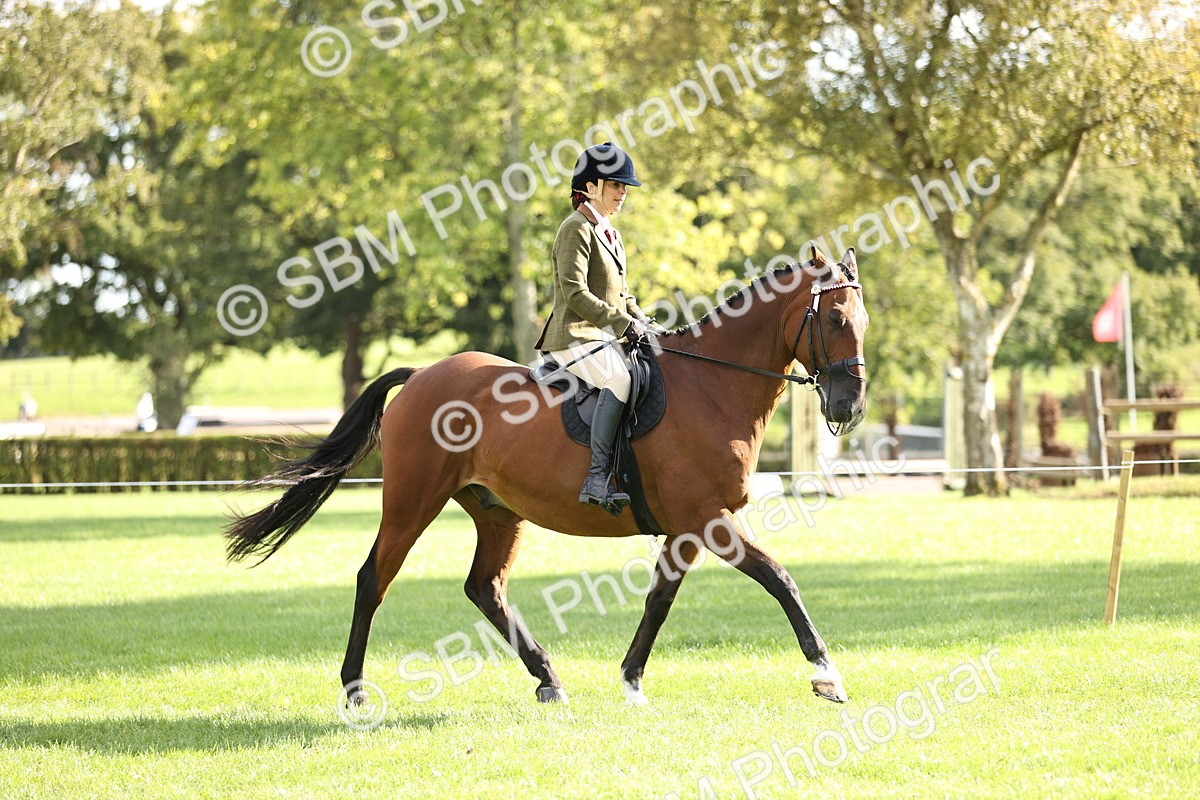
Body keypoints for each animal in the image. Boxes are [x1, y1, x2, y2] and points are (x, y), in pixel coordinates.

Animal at [225, 243, 868, 707]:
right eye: (836, 318)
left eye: (862, 317)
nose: (850, 406)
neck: (714, 385)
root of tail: (423, 374)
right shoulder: (707, 518)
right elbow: (780, 580)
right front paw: (827, 676)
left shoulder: (691, 527)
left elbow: (659, 600)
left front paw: (631, 679)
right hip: (412, 503)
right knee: (372, 579)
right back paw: (355, 689)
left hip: (495, 511)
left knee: (484, 587)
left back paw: (549, 679)